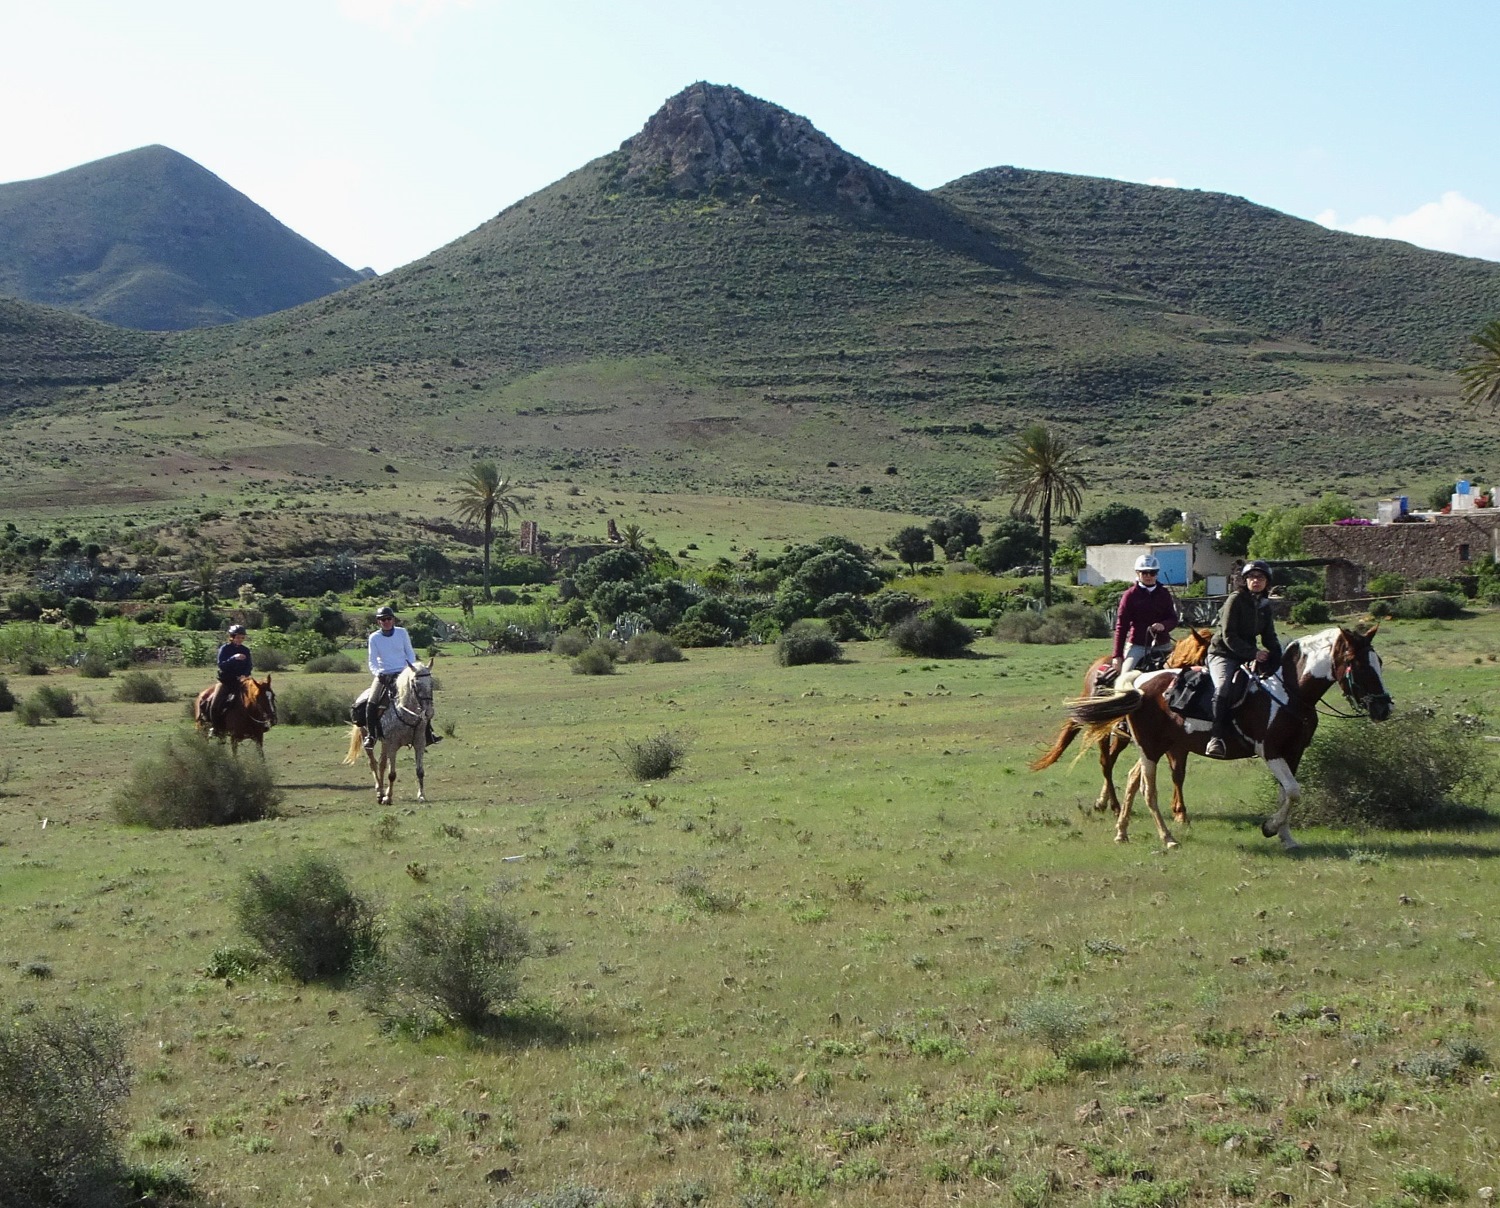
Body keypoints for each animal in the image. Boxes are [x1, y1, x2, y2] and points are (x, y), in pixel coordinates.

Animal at [340, 660, 435, 798]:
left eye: (431, 683)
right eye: (415, 684)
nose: (429, 712)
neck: (405, 712)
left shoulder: (419, 743)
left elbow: (420, 771)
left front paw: (421, 795)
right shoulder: (392, 745)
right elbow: (392, 774)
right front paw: (388, 797)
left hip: (385, 743)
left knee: (381, 763)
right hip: (367, 737)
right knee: (373, 763)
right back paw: (380, 791)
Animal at [1032, 627, 1218, 816]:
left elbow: (1178, 772)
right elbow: (1176, 771)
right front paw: (1179, 810)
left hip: (1122, 736)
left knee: (1111, 759)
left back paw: (1102, 802)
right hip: (1104, 730)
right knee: (1106, 763)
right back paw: (1114, 805)